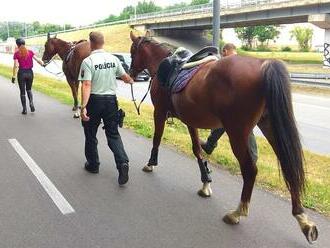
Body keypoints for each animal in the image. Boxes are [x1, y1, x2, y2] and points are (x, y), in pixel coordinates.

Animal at [128, 31, 318, 244]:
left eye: (132, 50)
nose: (131, 73)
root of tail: (264, 64)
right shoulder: (190, 120)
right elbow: (197, 150)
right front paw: (205, 182)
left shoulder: (159, 112)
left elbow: (157, 138)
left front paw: (151, 163)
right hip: (270, 127)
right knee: (288, 167)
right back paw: (303, 219)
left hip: (237, 132)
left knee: (250, 170)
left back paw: (238, 212)